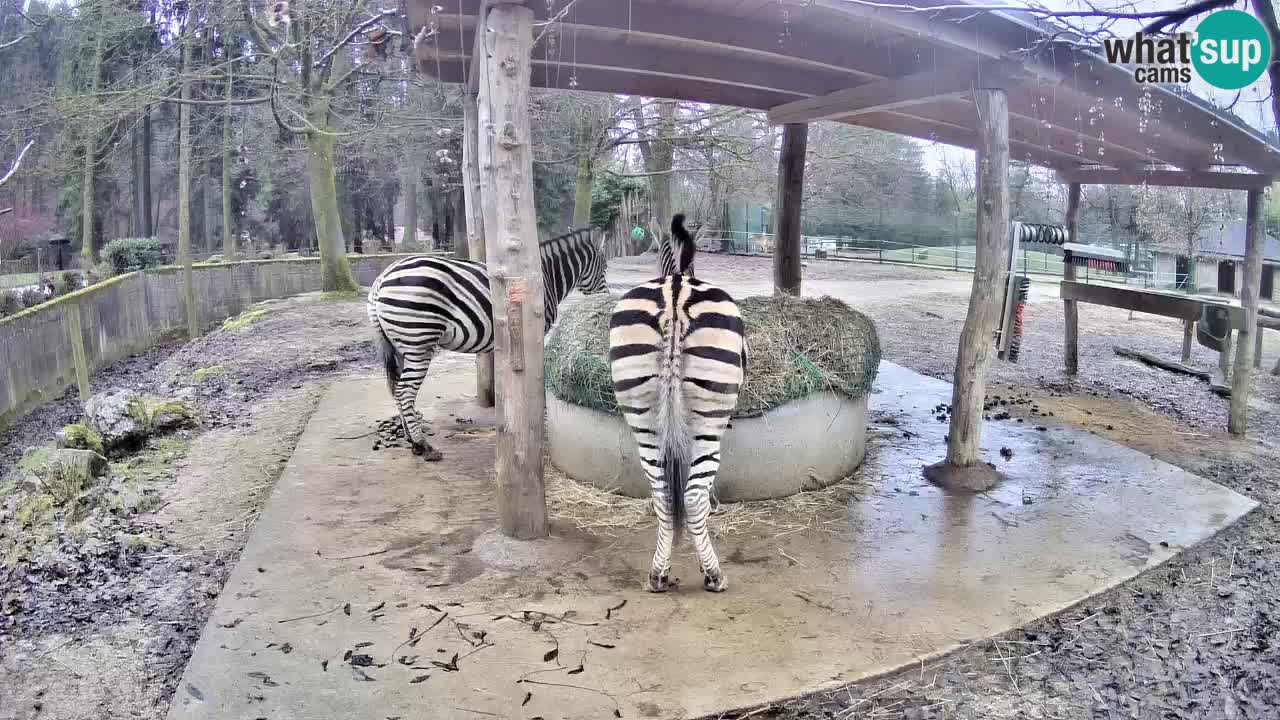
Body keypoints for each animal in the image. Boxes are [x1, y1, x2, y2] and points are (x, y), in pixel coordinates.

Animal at [371, 226, 609, 456]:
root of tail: (381, 279)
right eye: (605, 266)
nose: (606, 297)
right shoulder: (535, 331)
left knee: (397, 389)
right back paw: (423, 446)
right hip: (418, 341)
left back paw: (411, 440)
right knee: (405, 391)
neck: (545, 278)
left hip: (400, 345)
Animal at [611, 213, 747, 594]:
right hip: (711, 416)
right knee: (693, 495)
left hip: (639, 406)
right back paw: (714, 575)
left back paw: (658, 574)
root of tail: (674, 294)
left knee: (662, 493)